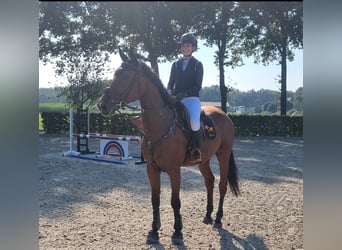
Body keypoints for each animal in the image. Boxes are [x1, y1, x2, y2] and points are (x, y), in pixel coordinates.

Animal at [97, 48, 240, 244]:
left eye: (125, 76)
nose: (102, 105)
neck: (162, 126)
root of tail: (224, 114)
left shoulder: (174, 170)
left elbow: (175, 201)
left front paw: (178, 232)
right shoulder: (151, 168)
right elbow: (155, 199)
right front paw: (154, 231)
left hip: (223, 154)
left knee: (222, 185)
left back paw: (218, 219)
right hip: (203, 160)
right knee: (209, 181)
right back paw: (208, 215)